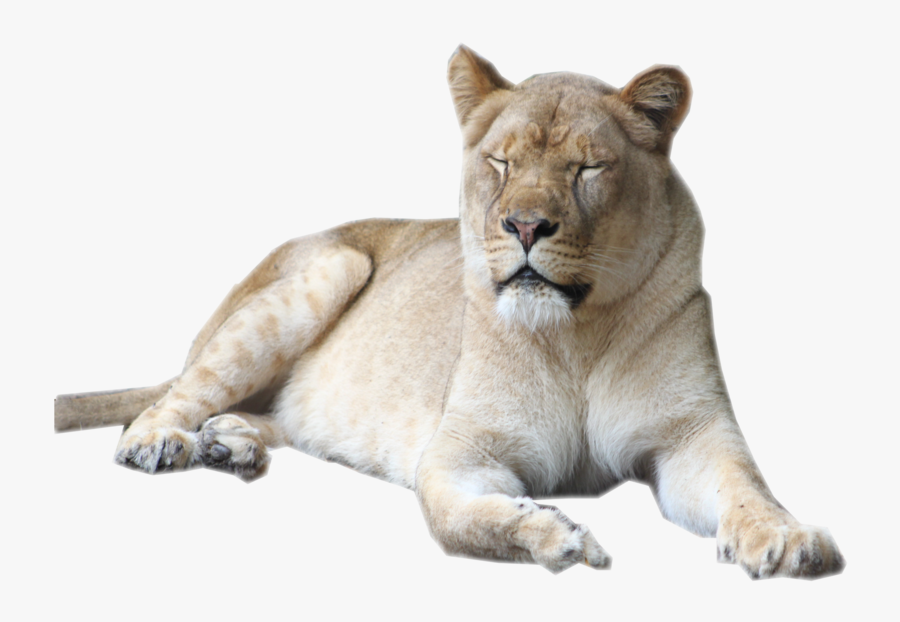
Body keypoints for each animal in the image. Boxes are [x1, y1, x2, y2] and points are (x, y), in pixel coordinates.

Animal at [55, 45, 844, 579]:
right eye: (501, 162)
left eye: (587, 168)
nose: (524, 225)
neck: (576, 335)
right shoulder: (460, 450)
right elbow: (464, 521)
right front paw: (556, 535)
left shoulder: (691, 436)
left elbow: (746, 489)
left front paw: (786, 538)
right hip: (333, 267)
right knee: (171, 397)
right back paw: (165, 442)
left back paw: (231, 443)